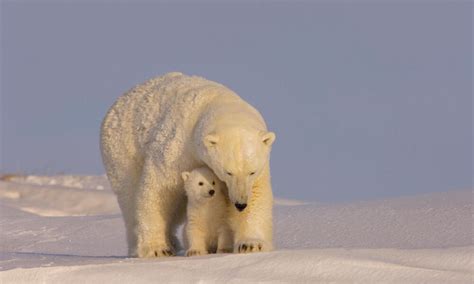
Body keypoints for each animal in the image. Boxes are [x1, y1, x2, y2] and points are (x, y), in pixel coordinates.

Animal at [102, 72, 276, 258]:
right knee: (129, 196)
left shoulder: (261, 165)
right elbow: (159, 189)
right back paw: (141, 247)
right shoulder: (178, 147)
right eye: (228, 172)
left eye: (252, 172)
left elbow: (257, 193)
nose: (240, 204)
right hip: (122, 150)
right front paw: (157, 248)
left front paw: (251, 244)